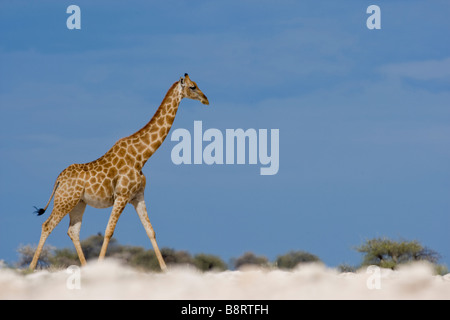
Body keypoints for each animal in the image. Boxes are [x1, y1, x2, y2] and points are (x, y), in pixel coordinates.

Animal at [29, 74, 209, 270]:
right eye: (193, 87)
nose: (205, 99)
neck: (142, 156)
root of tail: (58, 179)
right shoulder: (122, 195)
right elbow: (109, 231)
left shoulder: (138, 196)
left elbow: (150, 231)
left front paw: (165, 269)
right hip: (64, 201)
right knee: (47, 225)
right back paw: (30, 268)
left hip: (78, 203)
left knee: (73, 231)